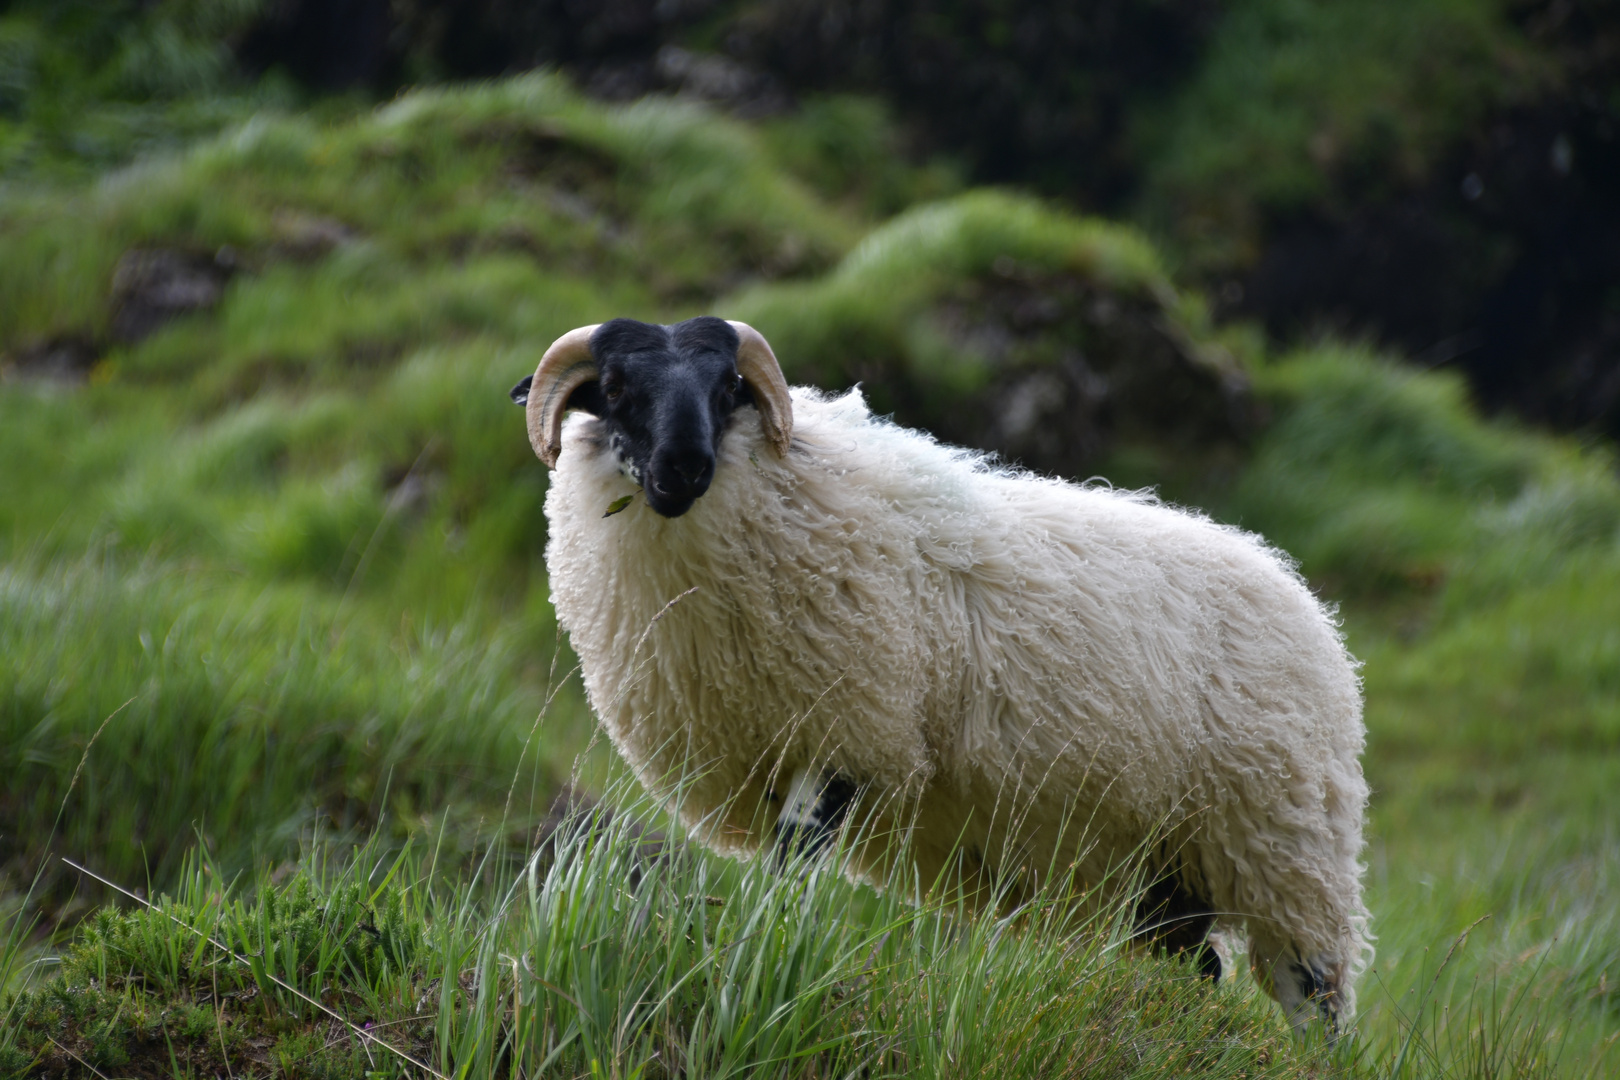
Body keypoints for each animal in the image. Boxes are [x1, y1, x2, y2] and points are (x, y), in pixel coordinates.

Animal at [511, 314, 1373, 1036]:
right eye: (614, 387)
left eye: (727, 389)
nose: (684, 466)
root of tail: (1310, 608)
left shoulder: (844, 735)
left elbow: (791, 880)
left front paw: (760, 968)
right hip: (1165, 869)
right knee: (1198, 965)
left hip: (1286, 846)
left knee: (1317, 999)